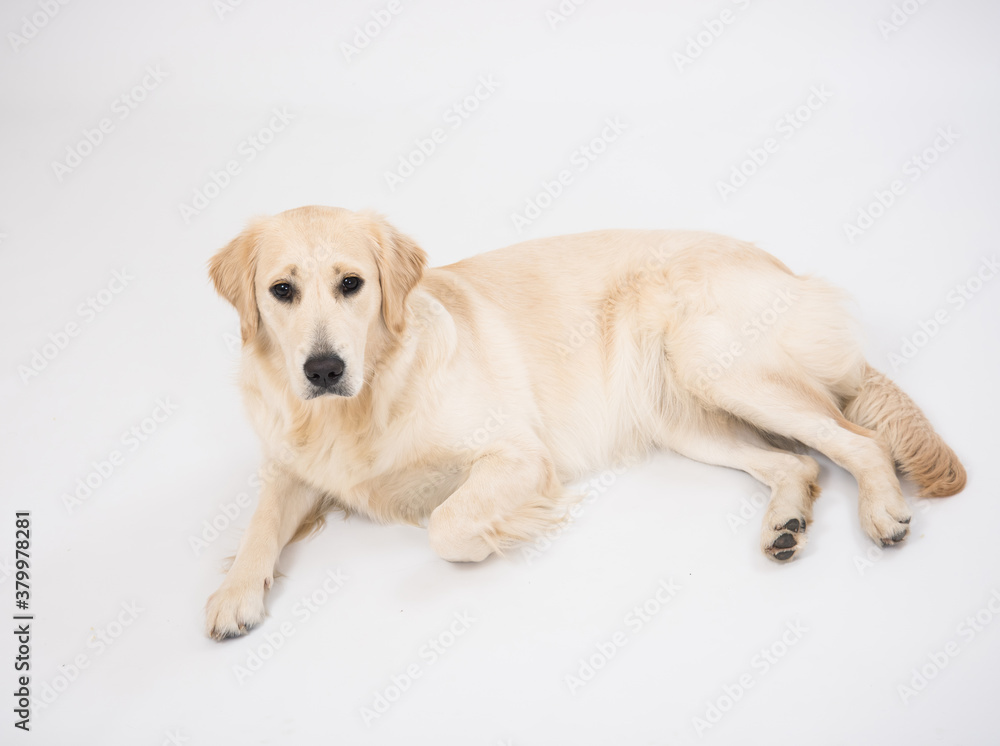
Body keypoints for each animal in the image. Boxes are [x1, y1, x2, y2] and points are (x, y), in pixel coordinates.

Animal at [205, 205, 965, 639]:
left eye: (352, 284)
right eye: (282, 290)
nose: (323, 369)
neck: (363, 401)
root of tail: (786, 269)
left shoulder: (516, 455)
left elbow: (447, 524)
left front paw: (500, 533)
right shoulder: (292, 467)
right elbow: (259, 523)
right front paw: (235, 594)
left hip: (720, 368)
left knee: (857, 439)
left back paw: (882, 512)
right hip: (686, 419)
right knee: (799, 460)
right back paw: (786, 523)